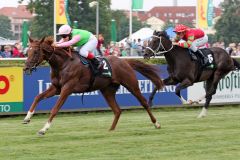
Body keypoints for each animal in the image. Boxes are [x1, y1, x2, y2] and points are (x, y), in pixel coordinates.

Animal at [22, 36, 164, 135]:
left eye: (36, 52)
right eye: (27, 52)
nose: (26, 68)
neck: (63, 64)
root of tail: (125, 61)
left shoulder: (67, 88)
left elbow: (55, 109)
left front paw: (43, 129)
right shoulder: (56, 88)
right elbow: (38, 97)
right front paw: (27, 118)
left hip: (131, 84)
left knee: (144, 103)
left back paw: (157, 124)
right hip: (107, 90)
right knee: (117, 110)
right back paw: (111, 130)